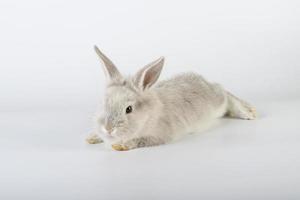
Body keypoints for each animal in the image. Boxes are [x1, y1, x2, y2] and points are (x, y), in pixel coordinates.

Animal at [86, 45, 255, 150]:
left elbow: (140, 141)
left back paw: (249, 112)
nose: (108, 129)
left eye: (129, 109)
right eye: (103, 103)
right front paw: (92, 138)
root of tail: (204, 81)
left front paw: (121, 146)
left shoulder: (160, 136)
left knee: (226, 95)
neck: (147, 115)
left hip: (218, 99)